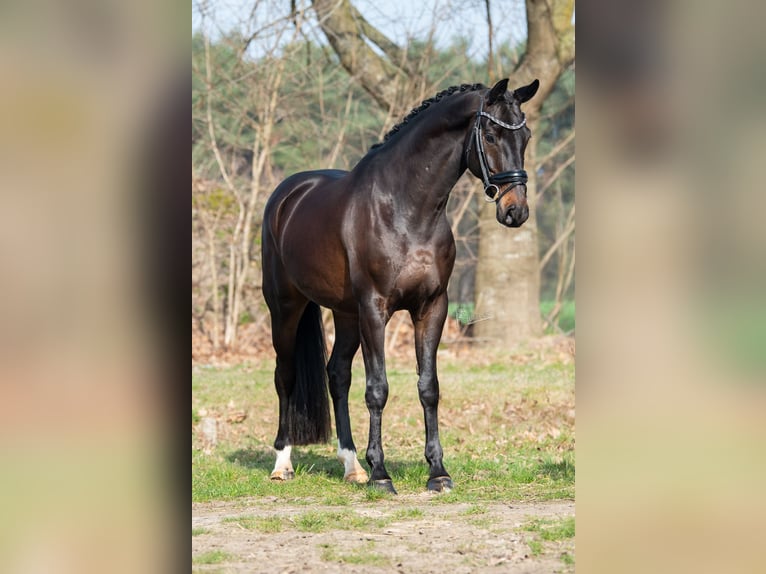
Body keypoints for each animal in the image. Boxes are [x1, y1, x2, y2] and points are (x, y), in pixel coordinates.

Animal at [261, 78, 539, 493]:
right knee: (286, 374)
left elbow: (429, 387)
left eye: (526, 136)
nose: (515, 211)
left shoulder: (431, 307)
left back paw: (351, 465)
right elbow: (378, 389)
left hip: (346, 314)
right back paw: (283, 463)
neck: (406, 210)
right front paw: (381, 474)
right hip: (285, 307)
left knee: (337, 375)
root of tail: (287, 195)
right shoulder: (375, 309)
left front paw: (437, 472)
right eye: (490, 135)